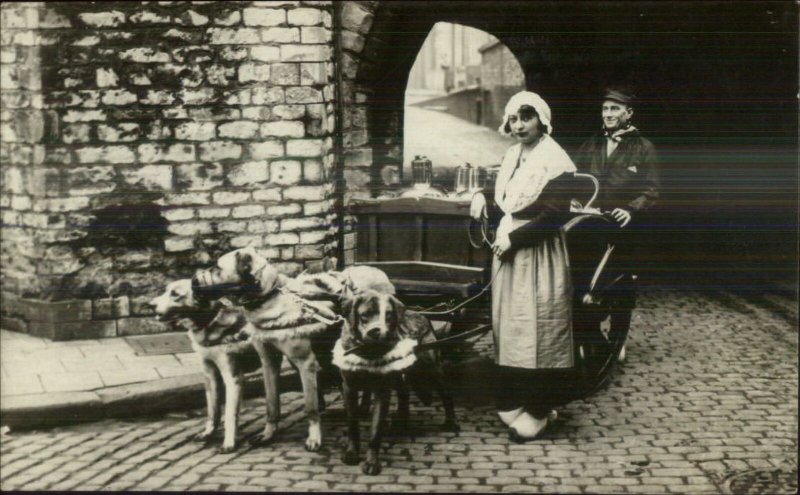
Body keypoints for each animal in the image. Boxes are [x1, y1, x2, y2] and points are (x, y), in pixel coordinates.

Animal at [150, 280, 260, 454]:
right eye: (166, 290)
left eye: (175, 294)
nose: (150, 305)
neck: (210, 321)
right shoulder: (210, 374)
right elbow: (212, 410)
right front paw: (208, 433)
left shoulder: (233, 378)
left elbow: (230, 414)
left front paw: (229, 443)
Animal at [332, 290, 456, 476]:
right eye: (365, 315)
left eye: (389, 316)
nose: (376, 332)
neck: (369, 352)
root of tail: (422, 314)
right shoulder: (349, 387)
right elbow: (353, 424)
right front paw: (351, 453)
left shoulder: (382, 391)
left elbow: (375, 431)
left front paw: (371, 462)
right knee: (404, 395)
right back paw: (401, 424)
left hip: (431, 367)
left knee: (446, 393)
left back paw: (450, 422)